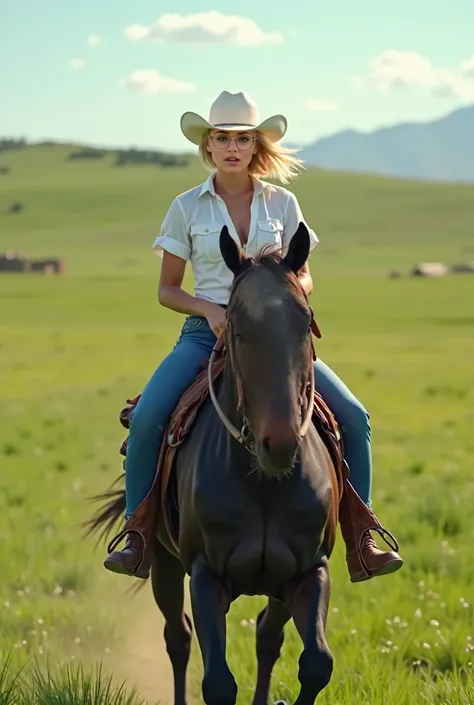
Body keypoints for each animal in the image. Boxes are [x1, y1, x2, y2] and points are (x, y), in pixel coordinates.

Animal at [90, 226, 340, 704]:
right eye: (237, 329)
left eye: (306, 320)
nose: (280, 442)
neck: (264, 484)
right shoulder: (205, 576)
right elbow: (218, 682)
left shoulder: (307, 572)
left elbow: (317, 664)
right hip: (163, 563)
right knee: (178, 637)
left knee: (266, 637)